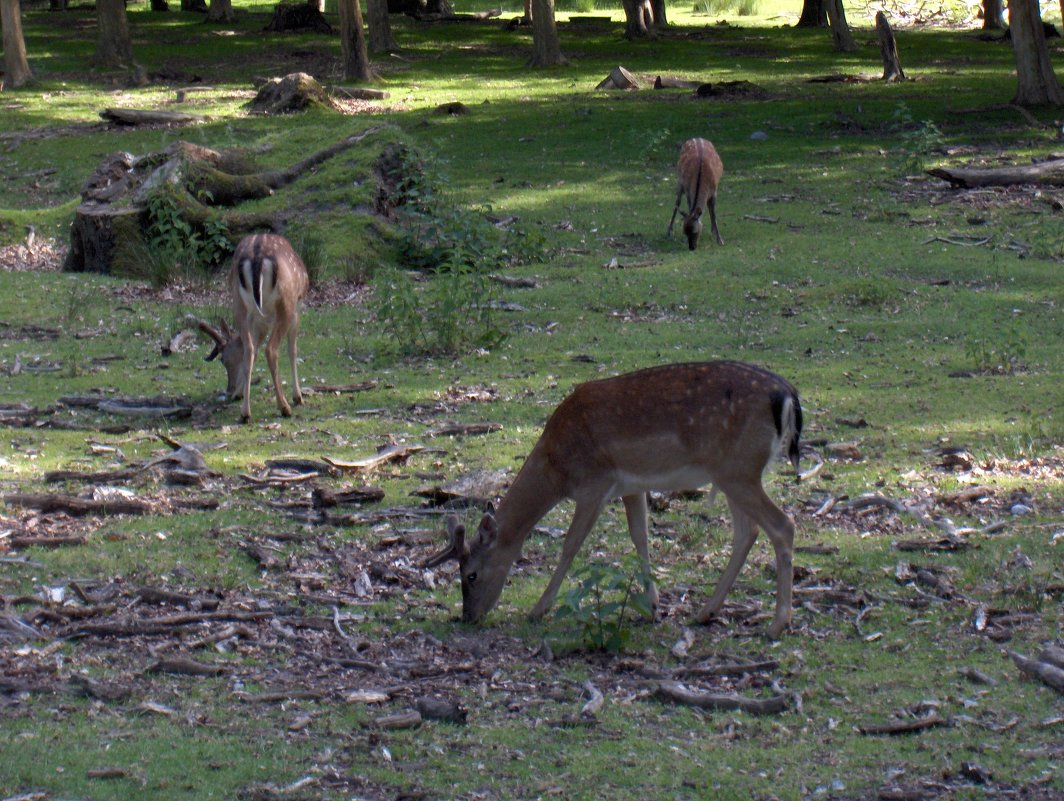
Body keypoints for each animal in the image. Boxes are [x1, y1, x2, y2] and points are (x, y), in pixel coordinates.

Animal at [196, 232, 308, 425]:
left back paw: (245, 413)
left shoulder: (258, 321)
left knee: (249, 349)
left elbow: (253, 350)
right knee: (271, 350)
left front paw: (239, 393)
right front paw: (298, 396)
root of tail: (257, 257)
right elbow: (292, 351)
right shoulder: (297, 309)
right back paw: (284, 407)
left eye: (223, 359)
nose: (229, 389)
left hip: (238, 303)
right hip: (286, 303)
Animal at [423, 361, 800, 638]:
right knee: (748, 531)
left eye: (470, 575)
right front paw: (652, 607)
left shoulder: (594, 483)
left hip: (737, 469)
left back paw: (776, 624)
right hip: (735, 473)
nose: (468, 616)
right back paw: (706, 611)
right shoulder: (631, 486)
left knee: (783, 524)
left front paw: (539, 609)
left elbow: (571, 545)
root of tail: (787, 396)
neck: (556, 467)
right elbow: (640, 537)